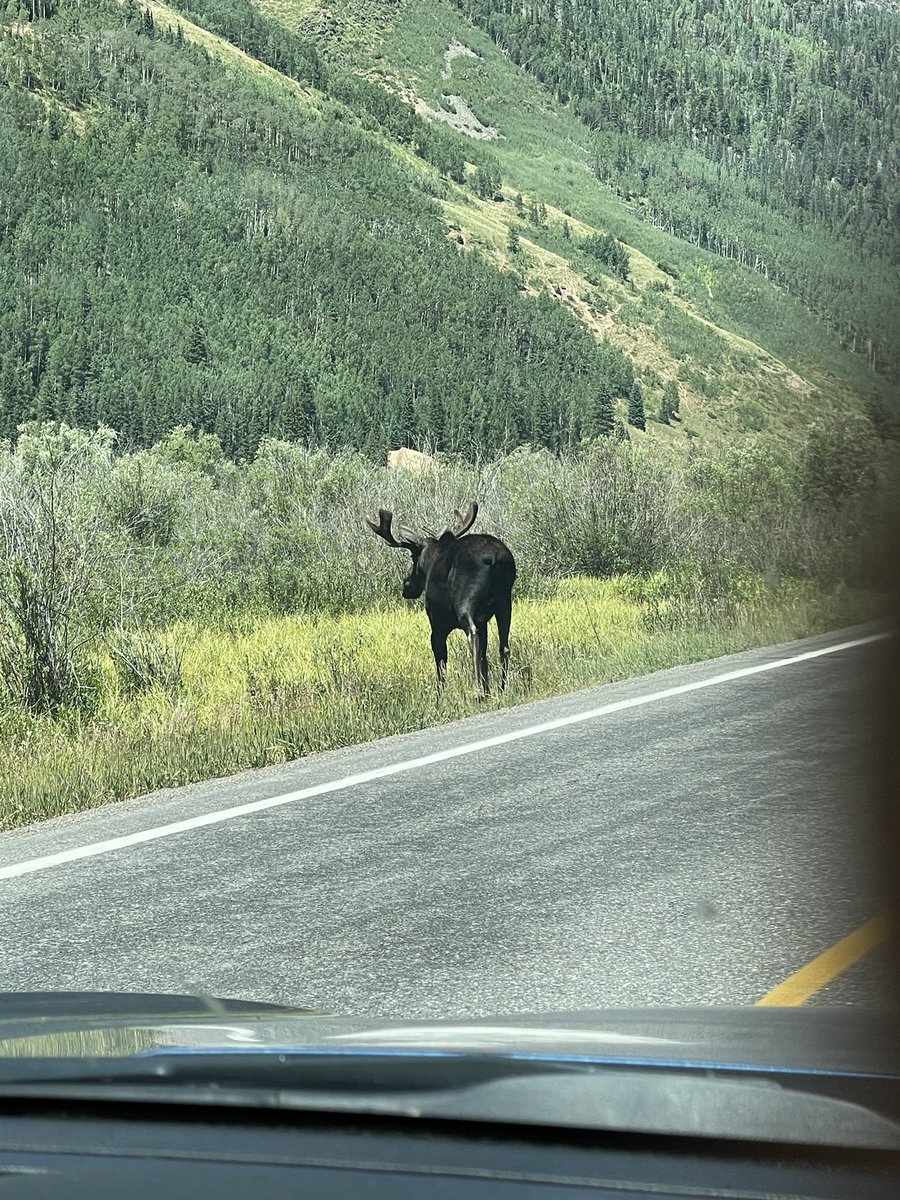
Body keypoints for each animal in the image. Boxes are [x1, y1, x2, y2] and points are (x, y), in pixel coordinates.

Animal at [366, 502, 516, 695]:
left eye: (412, 556)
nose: (406, 584)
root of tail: (495, 558)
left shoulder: (437, 624)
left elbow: (441, 665)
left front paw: (441, 698)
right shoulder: (483, 621)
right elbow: (484, 657)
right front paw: (487, 691)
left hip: (466, 600)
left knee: (472, 635)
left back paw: (476, 692)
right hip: (504, 600)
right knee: (503, 645)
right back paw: (502, 689)